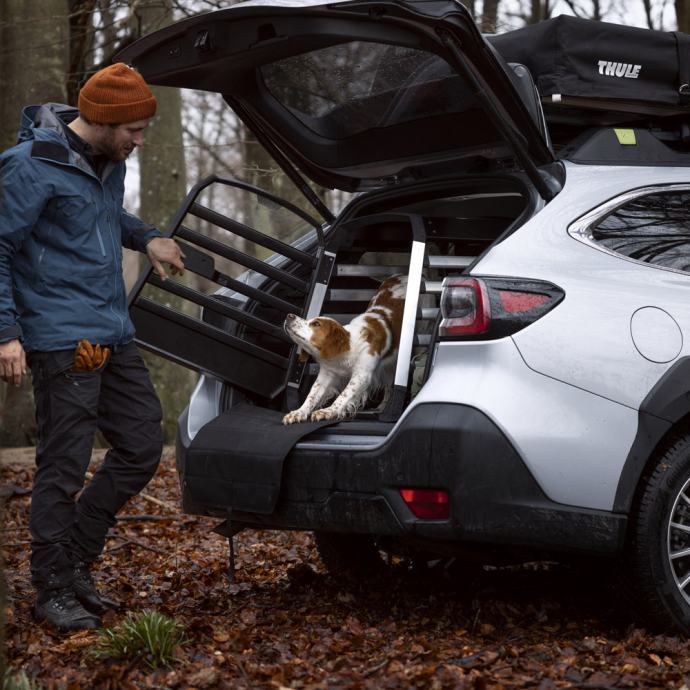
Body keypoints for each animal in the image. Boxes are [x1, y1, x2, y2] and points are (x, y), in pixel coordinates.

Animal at [282, 274, 407, 425]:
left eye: (316, 324)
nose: (289, 315)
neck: (345, 351)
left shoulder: (362, 374)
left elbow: (344, 394)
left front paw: (328, 411)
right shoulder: (327, 373)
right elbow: (312, 395)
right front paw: (299, 412)